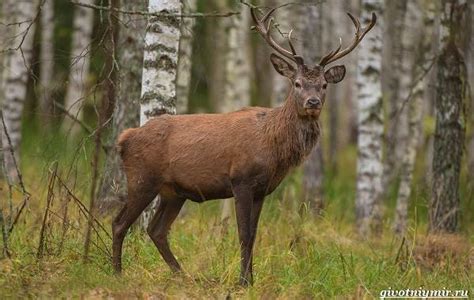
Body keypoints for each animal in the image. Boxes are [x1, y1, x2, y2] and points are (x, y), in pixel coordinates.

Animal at [113, 5, 376, 284]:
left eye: (324, 85)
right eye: (297, 83)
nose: (312, 102)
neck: (274, 148)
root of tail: (124, 138)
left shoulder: (262, 189)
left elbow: (253, 235)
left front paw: (251, 279)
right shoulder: (241, 181)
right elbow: (243, 234)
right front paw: (243, 281)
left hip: (173, 192)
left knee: (157, 229)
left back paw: (183, 275)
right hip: (142, 179)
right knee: (120, 223)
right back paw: (117, 272)